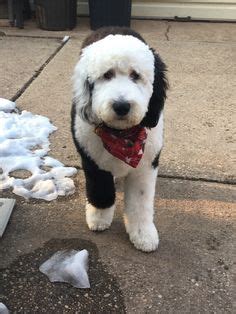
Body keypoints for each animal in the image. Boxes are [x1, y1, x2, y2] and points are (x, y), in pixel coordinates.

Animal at [70, 27, 168, 253]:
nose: (121, 106)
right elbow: (100, 190)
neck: (122, 136)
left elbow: (140, 201)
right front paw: (98, 217)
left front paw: (142, 233)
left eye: (135, 75)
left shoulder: (146, 164)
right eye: (107, 75)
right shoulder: (92, 160)